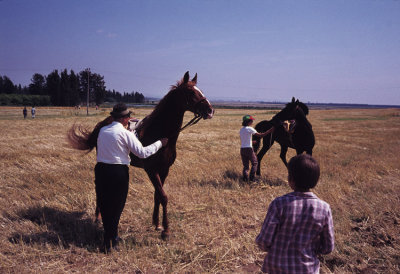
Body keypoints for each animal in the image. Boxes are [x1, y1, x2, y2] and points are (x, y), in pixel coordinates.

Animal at [68, 71, 216, 239]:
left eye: (200, 90)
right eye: (191, 92)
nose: (210, 110)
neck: (160, 132)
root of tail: (102, 123)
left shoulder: (164, 170)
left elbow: (158, 195)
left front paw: (157, 224)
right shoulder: (151, 170)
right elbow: (163, 196)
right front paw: (166, 230)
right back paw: (97, 217)